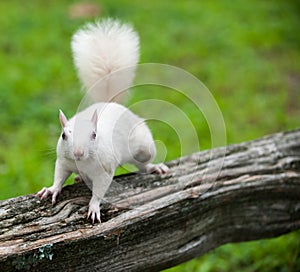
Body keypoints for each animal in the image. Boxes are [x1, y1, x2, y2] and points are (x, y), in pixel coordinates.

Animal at [35, 18, 169, 223]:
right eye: (64, 135)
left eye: (94, 135)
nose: (78, 153)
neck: (83, 163)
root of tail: (110, 102)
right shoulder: (63, 161)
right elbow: (59, 176)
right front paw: (51, 189)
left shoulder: (104, 171)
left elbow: (99, 192)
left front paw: (93, 207)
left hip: (144, 147)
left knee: (142, 165)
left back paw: (155, 167)